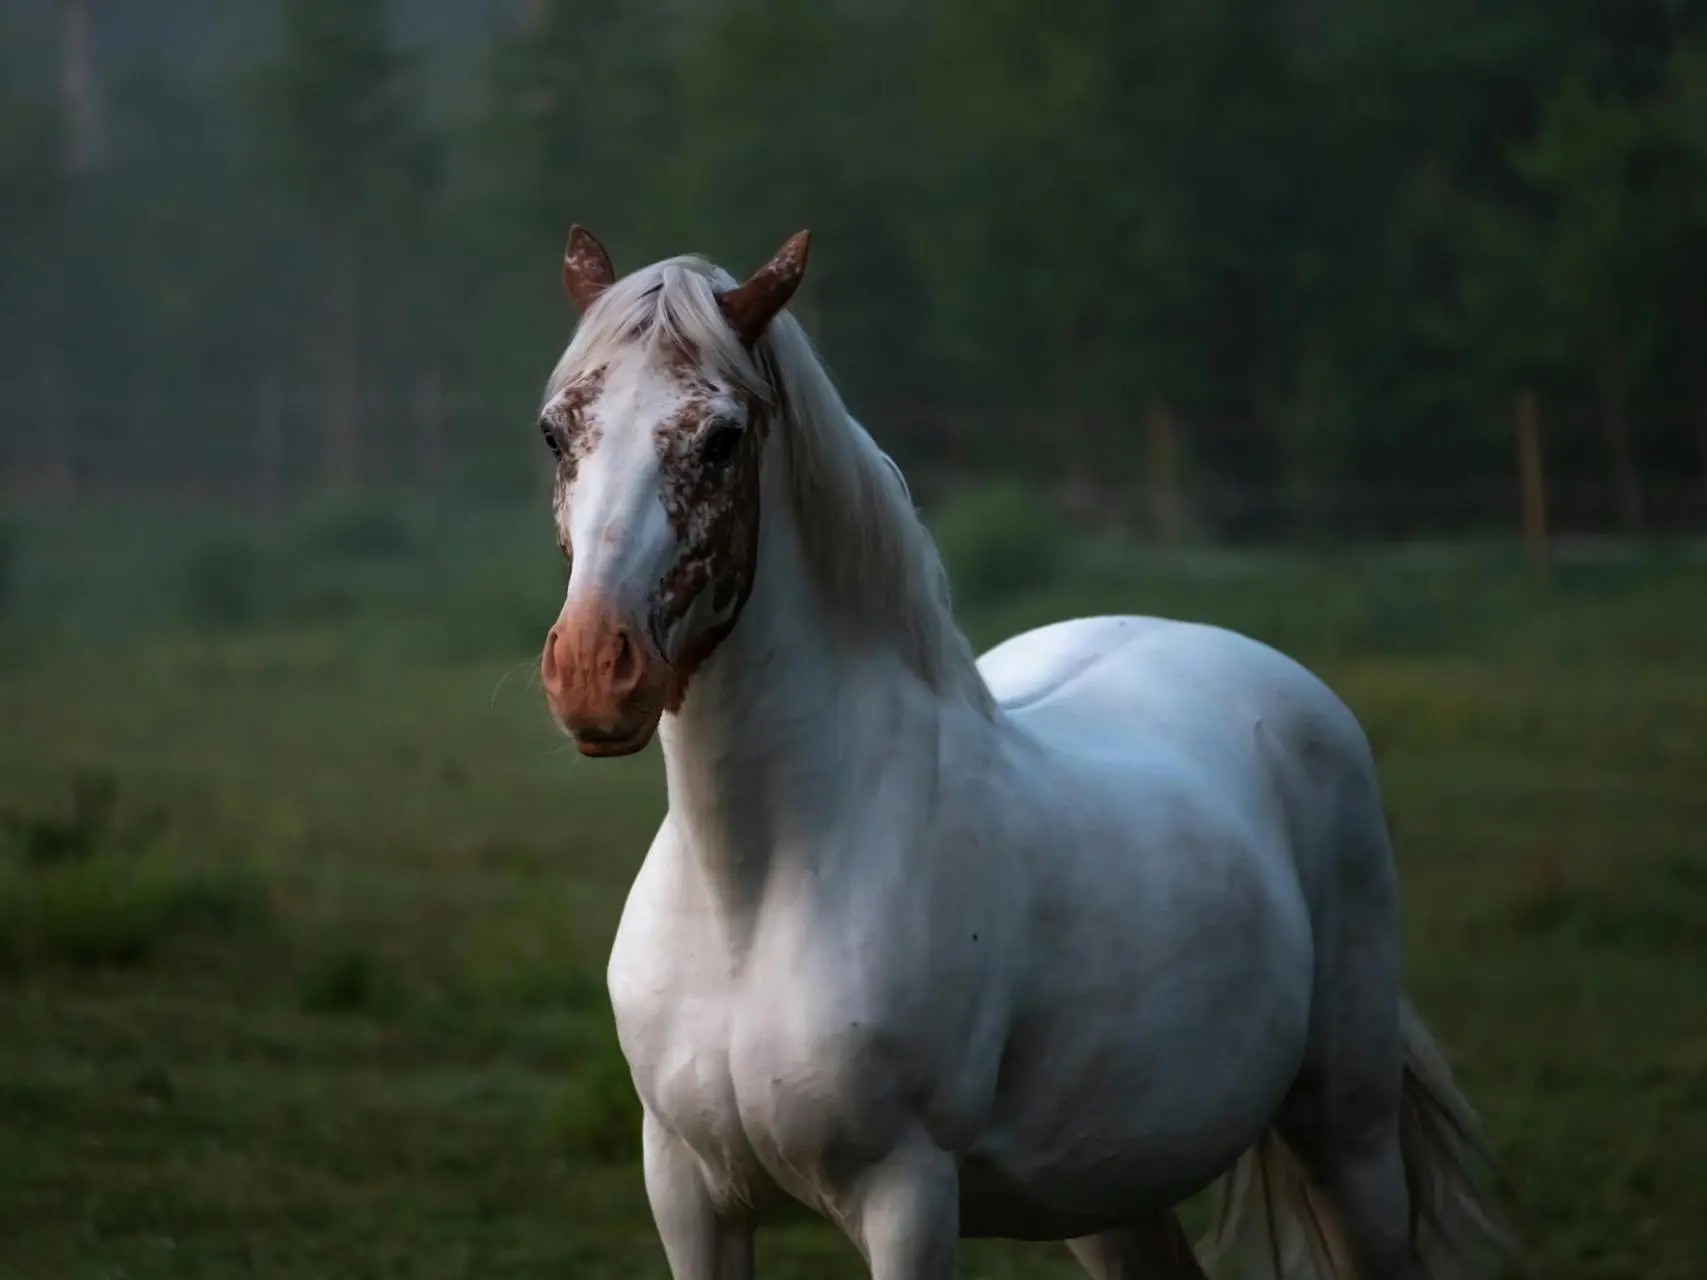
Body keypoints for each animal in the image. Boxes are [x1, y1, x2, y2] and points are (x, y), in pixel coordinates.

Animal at [525, 225, 1502, 1276]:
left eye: (722, 439)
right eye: (555, 432)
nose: (593, 670)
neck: (755, 894)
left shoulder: (907, 1196)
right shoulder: (688, 1196)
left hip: (1346, 1133)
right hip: (1109, 1188)